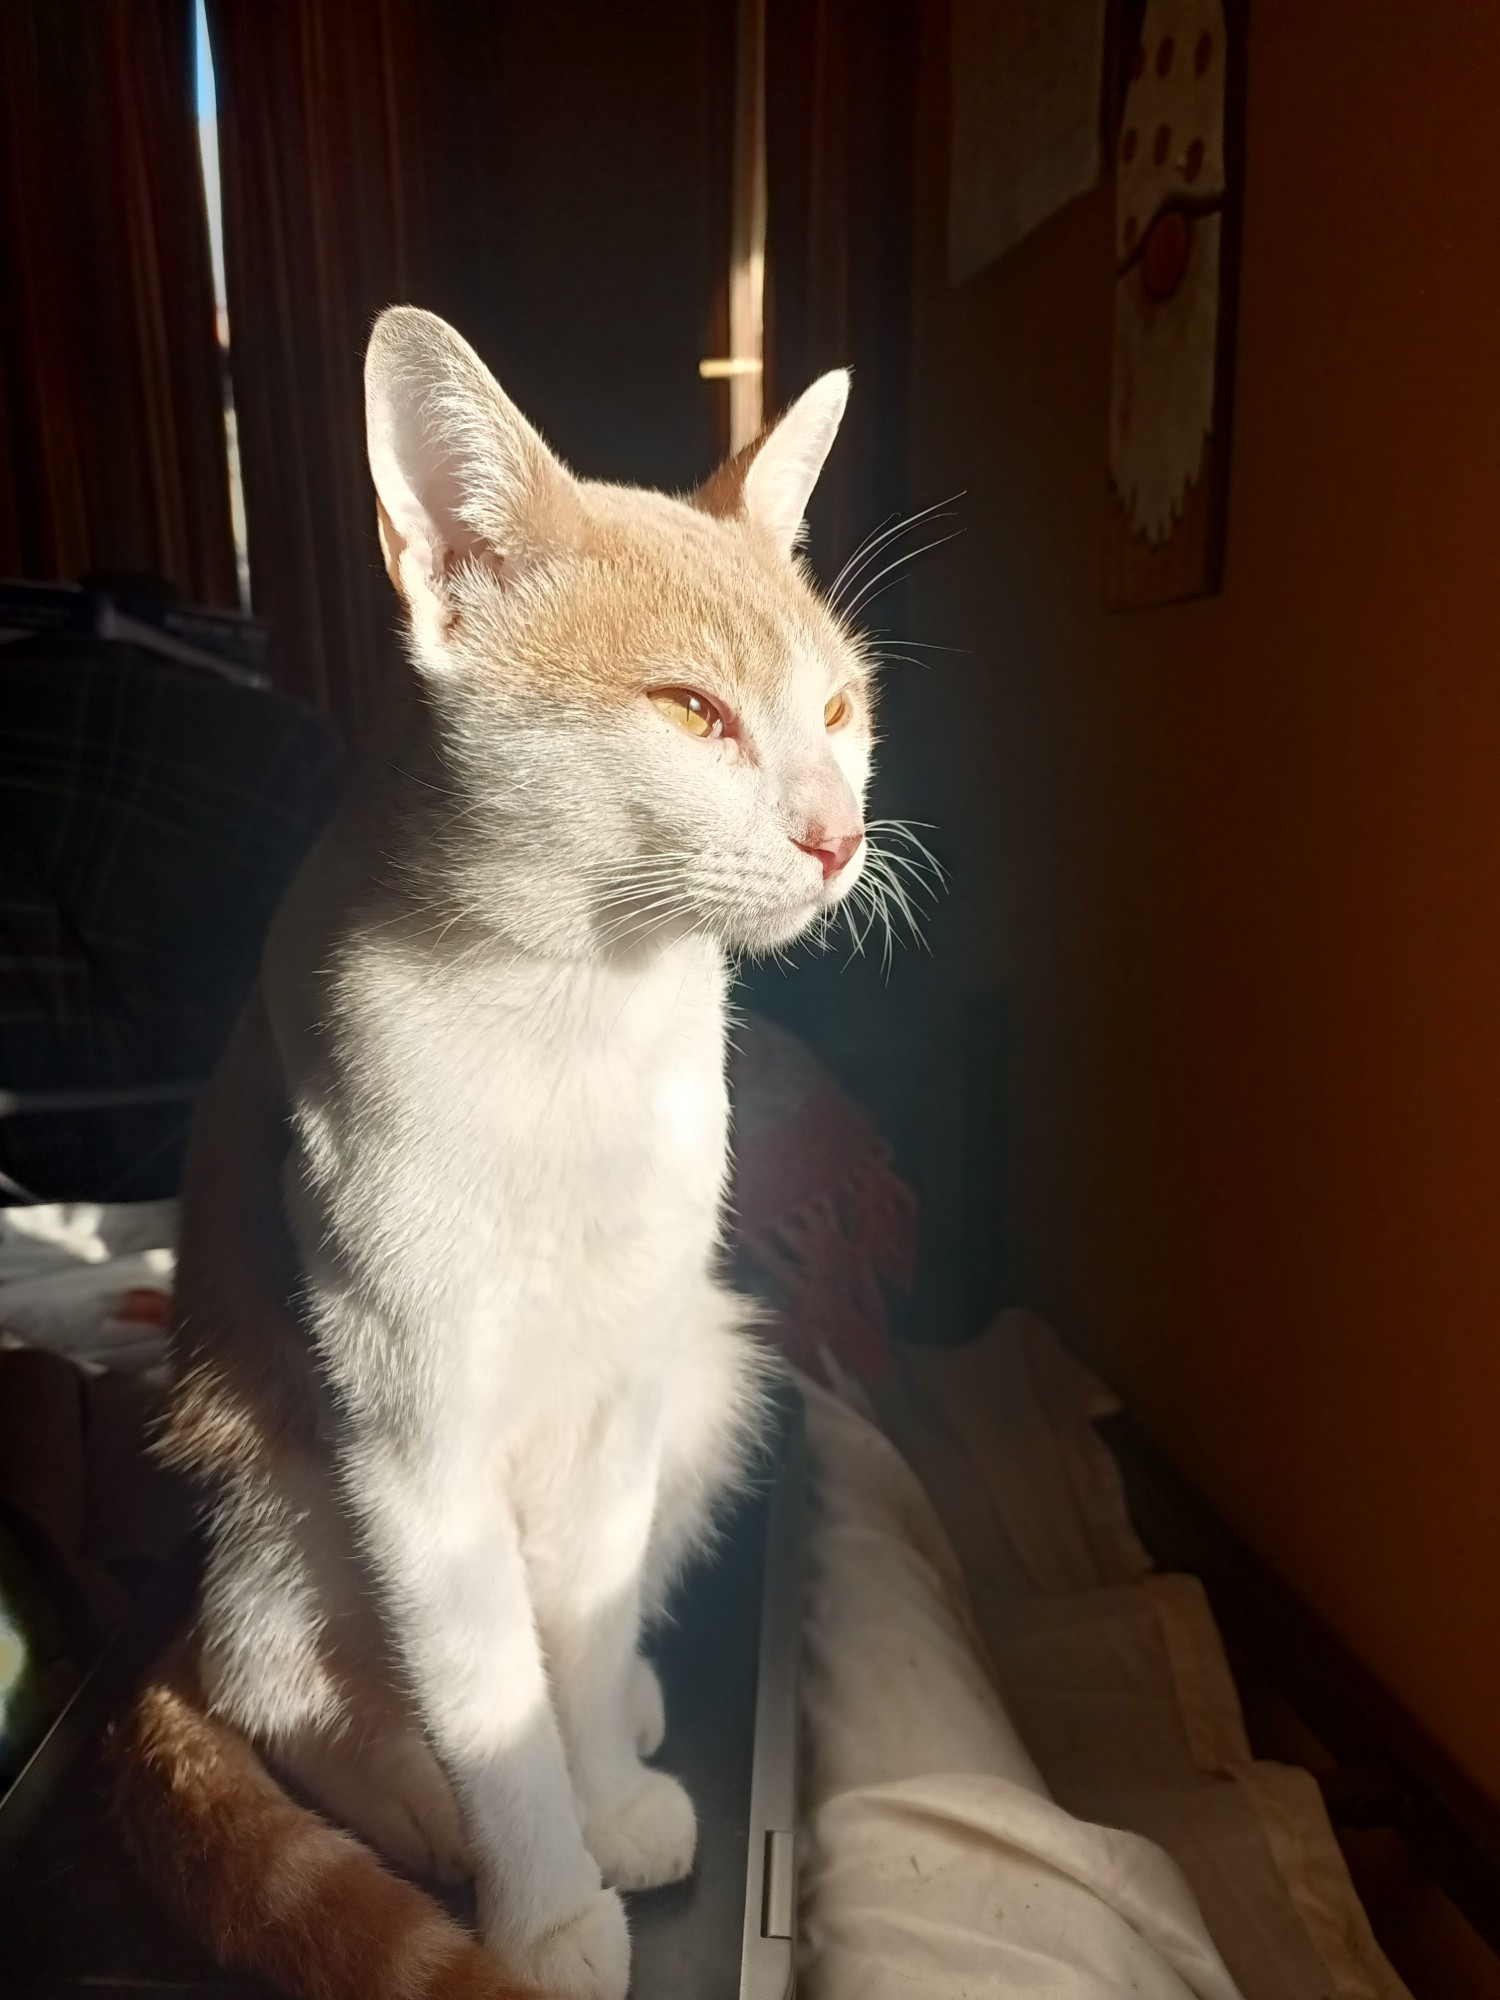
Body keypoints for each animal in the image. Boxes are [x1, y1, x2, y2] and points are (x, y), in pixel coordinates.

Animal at [114, 300, 880, 2000]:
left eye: (840, 710)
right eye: (689, 711)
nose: (838, 834)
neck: (573, 1016)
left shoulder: (619, 1388)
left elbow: (574, 1644)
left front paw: (603, 1791)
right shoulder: (415, 1450)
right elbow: (487, 1700)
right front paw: (539, 1905)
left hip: (711, 1371)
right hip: (288, 1511)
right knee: (284, 1699)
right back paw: (417, 1809)